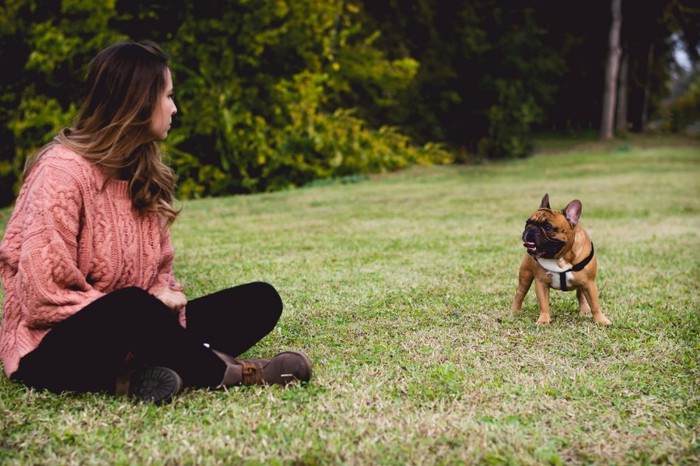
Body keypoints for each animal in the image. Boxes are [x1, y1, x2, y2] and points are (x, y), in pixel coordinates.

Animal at [512, 193, 608, 324]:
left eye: (548, 227)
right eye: (527, 223)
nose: (531, 229)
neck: (560, 258)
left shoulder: (589, 283)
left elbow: (595, 304)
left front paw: (601, 320)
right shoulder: (541, 283)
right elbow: (544, 304)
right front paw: (543, 320)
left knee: (581, 295)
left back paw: (584, 310)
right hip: (525, 276)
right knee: (520, 293)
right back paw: (514, 312)